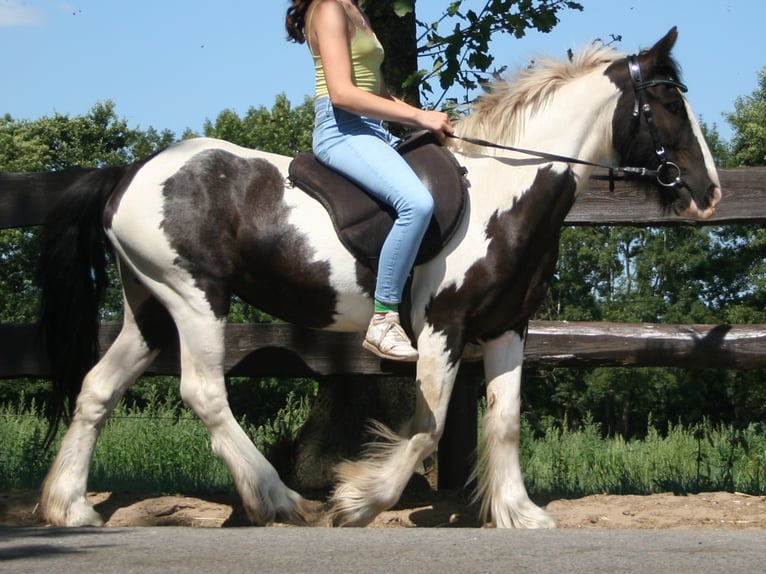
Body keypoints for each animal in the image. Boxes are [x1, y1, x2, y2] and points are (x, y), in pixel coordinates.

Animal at [36, 28, 720, 532]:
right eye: (669, 105)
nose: (708, 193)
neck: (506, 192)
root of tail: (129, 172)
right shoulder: (444, 327)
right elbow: (428, 427)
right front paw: (358, 501)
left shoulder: (507, 328)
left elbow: (505, 421)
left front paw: (520, 514)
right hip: (196, 297)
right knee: (204, 393)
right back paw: (280, 501)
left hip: (150, 307)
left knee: (97, 389)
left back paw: (70, 508)